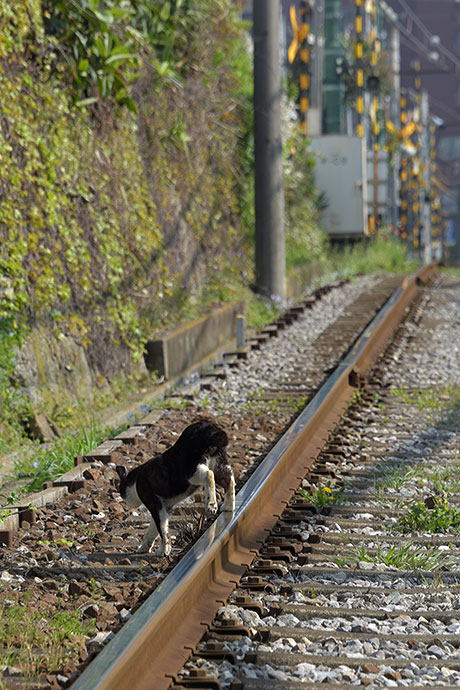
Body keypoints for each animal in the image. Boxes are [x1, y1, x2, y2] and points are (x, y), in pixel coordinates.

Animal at [117, 416, 235, 556]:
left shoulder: (154, 504)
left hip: (191, 472)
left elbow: (162, 530)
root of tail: (209, 428)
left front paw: (164, 550)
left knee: (209, 475)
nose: (125, 502)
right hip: (219, 466)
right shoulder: (165, 508)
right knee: (229, 480)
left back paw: (211, 504)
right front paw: (144, 548)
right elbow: (153, 530)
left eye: (121, 493)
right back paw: (228, 506)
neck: (135, 480)